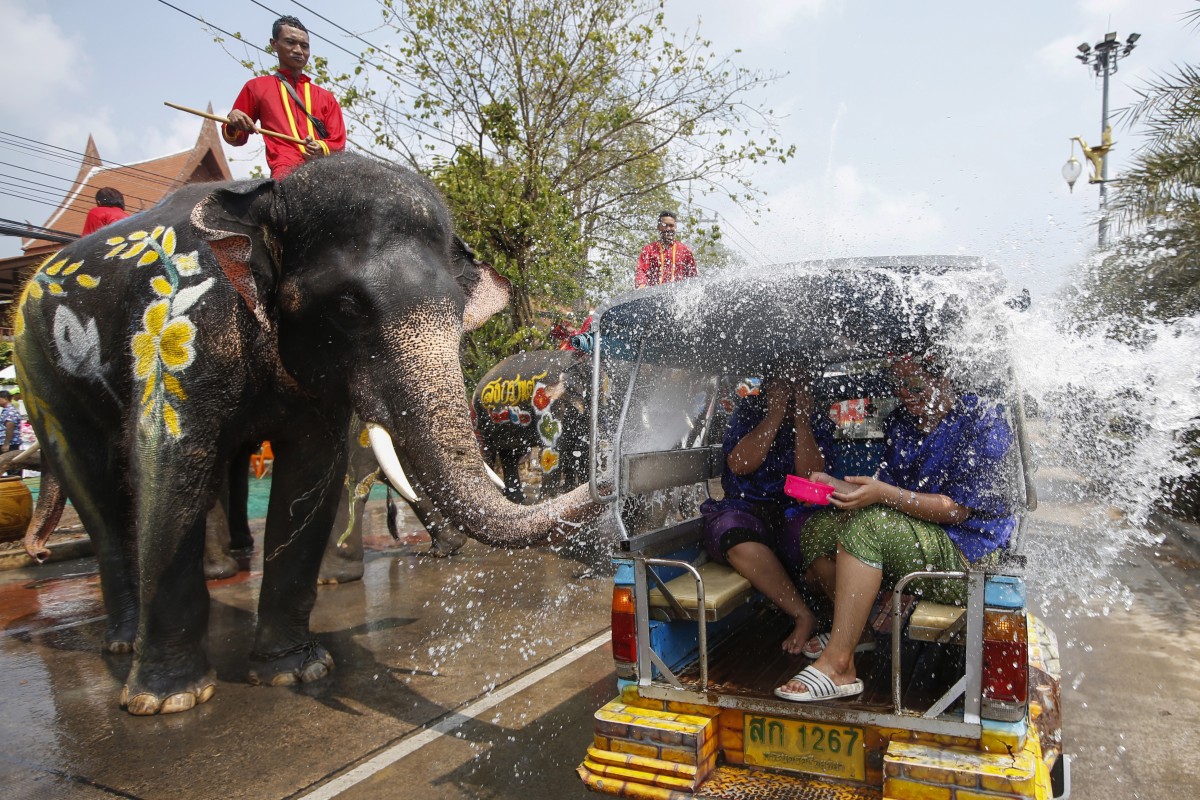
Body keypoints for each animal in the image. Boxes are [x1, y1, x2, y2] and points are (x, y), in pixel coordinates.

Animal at [472, 347, 595, 503]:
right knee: (489, 452)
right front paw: (549, 500)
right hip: (480, 422)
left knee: (510, 454)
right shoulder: (550, 403)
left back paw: (517, 499)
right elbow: (553, 447)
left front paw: (570, 492)